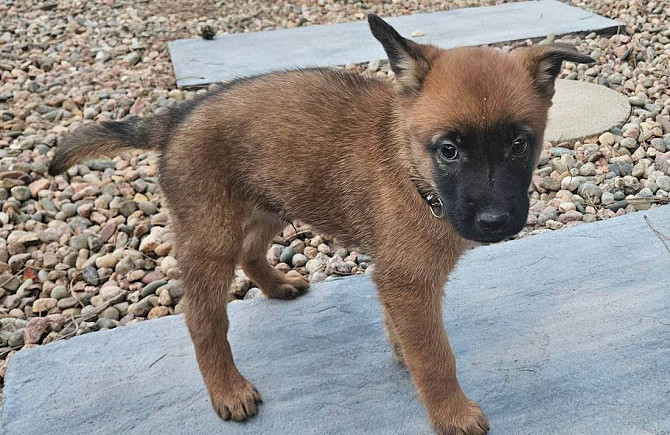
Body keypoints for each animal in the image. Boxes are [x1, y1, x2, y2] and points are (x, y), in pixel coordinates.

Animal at [46, 14, 592, 435]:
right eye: (449, 150)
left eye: (520, 144)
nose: (495, 223)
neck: (414, 171)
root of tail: (176, 116)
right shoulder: (409, 281)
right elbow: (437, 357)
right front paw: (451, 413)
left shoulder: (394, 279)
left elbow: (406, 335)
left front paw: (402, 354)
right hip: (210, 236)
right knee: (203, 319)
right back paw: (228, 389)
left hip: (269, 204)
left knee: (251, 251)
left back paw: (278, 285)